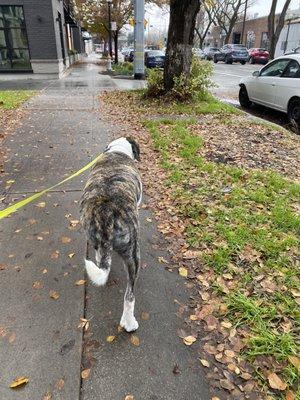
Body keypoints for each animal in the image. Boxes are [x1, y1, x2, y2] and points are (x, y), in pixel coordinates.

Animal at [80, 138, 142, 332]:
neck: (117, 150)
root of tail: (106, 214)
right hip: (133, 255)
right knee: (129, 296)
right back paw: (129, 323)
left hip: (93, 239)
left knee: (101, 260)